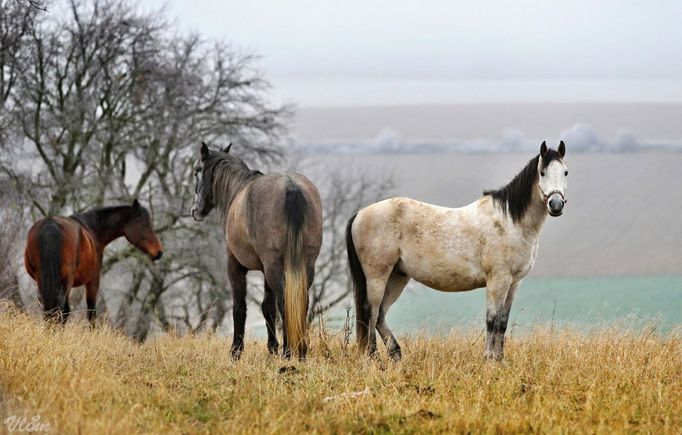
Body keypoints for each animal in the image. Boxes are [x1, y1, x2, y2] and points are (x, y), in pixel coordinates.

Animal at [24, 200, 163, 324]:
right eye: (144, 225)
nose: (159, 252)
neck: (93, 230)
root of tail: (50, 225)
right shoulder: (93, 279)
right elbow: (91, 313)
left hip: (43, 279)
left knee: (50, 309)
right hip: (66, 281)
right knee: (60, 309)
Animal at [189, 144, 322, 362]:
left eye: (196, 172)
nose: (195, 210)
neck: (237, 190)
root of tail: (291, 186)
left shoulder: (235, 265)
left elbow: (239, 307)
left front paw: (236, 351)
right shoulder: (265, 271)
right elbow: (267, 307)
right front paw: (271, 348)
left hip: (274, 267)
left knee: (285, 302)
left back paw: (288, 353)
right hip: (305, 265)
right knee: (300, 302)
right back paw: (301, 352)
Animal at [348, 142, 564, 362]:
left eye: (565, 172)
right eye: (542, 172)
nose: (556, 205)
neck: (509, 222)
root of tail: (360, 213)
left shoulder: (514, 283)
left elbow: (502, 323)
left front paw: (499, 360)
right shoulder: (498, 280)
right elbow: (492, 321)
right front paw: (489, 360)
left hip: (397, 276)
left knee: (380, 315)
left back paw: (395, 354)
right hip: (377, 276)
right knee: (371, 312)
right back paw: (374, 359)